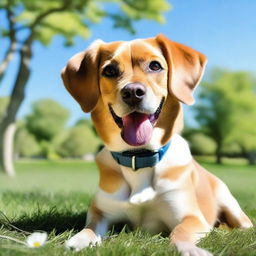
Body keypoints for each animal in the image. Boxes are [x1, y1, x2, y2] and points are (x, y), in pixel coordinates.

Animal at [61, 34, 253, 256]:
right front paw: (79, 241)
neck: (138, 157)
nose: (133, 92)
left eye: (155, 66)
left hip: (230, 203)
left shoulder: (191, 217)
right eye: (109, 71)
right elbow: (89, 228)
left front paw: (191, 250)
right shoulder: (100, 212)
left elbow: (178, 234)